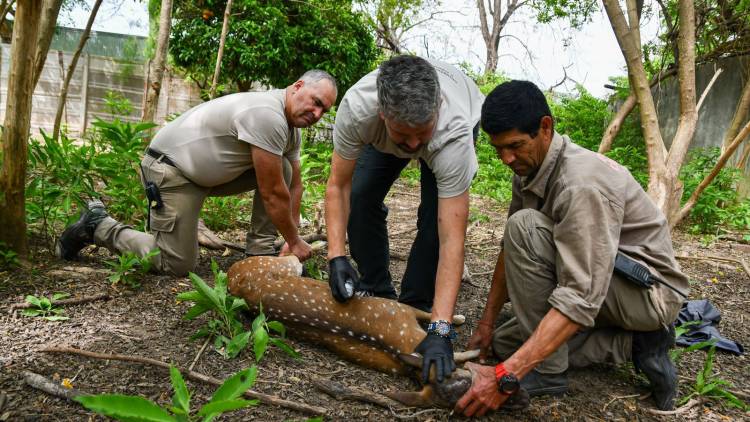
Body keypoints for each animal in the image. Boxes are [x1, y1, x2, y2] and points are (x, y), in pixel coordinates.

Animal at [227, 254, 530, 410]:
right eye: (467, 383)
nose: (523, 399)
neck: (404, 346)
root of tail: (231, 279)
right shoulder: (398, 309)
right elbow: (432, 317)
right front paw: (462, 324)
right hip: (277, 263)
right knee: (290, 255)